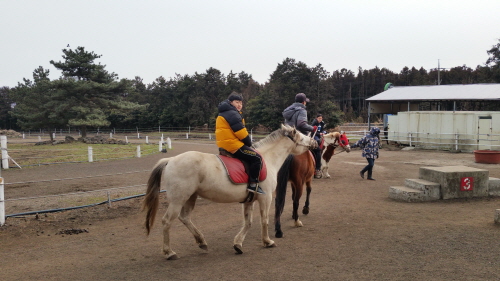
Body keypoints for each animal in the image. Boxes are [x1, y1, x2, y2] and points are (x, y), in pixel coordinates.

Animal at [143, 123, 318, 260]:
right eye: (302, 137)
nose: (314, 142)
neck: (268, 159)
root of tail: (170, 160)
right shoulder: (266, 198)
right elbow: (264, 220)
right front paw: (267, 241)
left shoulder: (249, 200)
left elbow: (248, 222)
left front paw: (238, 244)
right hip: (178, 200)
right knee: (167, 221)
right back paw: (169, 252)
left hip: (190, 197)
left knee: (185, 218)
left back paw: (202, 242)